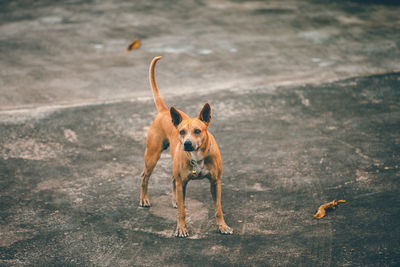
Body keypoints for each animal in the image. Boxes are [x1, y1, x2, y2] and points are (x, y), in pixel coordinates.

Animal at [140, 56, 233, 239]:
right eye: (182, 132)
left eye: (197, 131)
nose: (187, 144)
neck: (197, 157)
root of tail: (164, 111)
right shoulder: (182, 182)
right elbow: (182, 211)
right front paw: (181, 228)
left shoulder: (215, 182)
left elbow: (218, 208)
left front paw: (222, 226)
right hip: (152, 156)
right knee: (144, 177)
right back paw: (144, 199)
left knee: (172, 180)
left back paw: (175, 200)